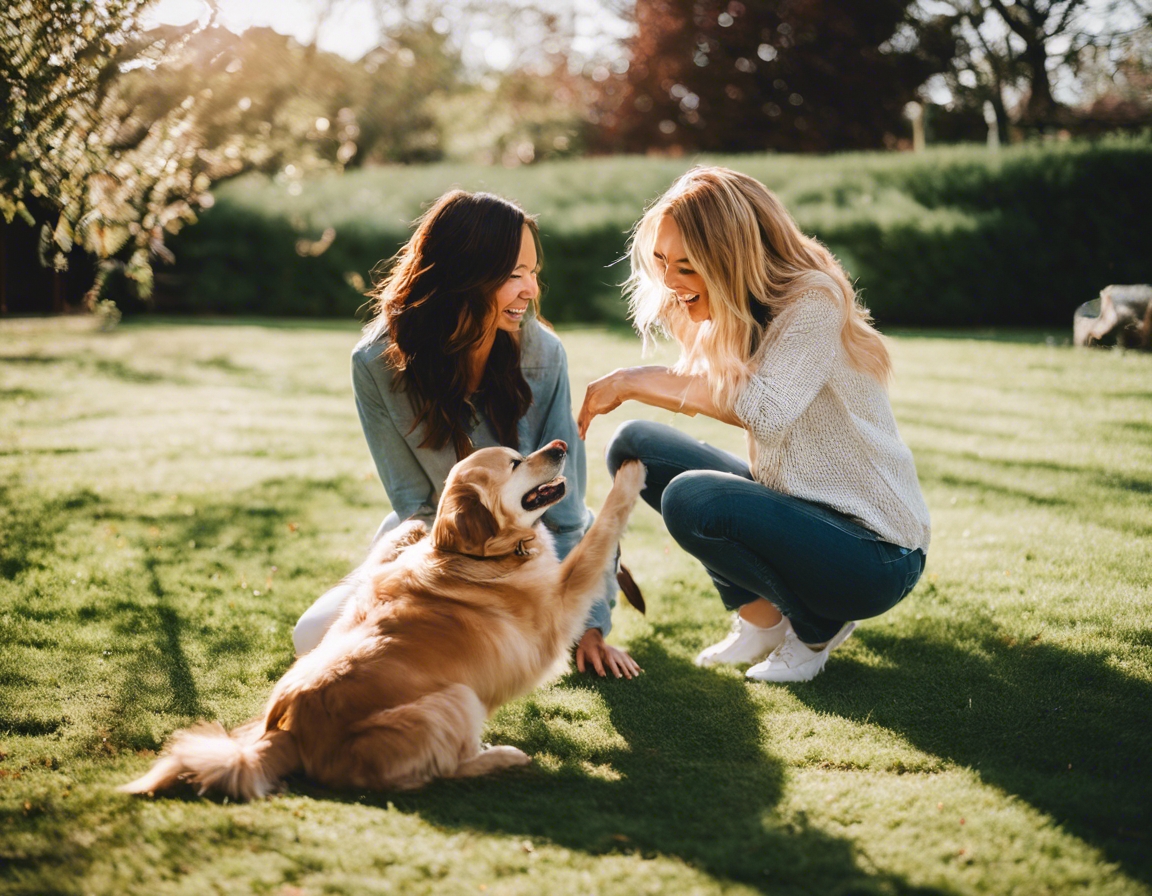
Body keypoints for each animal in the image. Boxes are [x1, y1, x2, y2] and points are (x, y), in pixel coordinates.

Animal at [120, 439, 645, 796]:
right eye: (516, 462)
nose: (559, 445)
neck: (479, 556)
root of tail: (287, 732)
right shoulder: (559, 604)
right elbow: (600, 534)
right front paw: (630, 475)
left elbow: (387, 557)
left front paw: (412, 530)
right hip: (457, 696)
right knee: (443, 769)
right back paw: (500, 757)